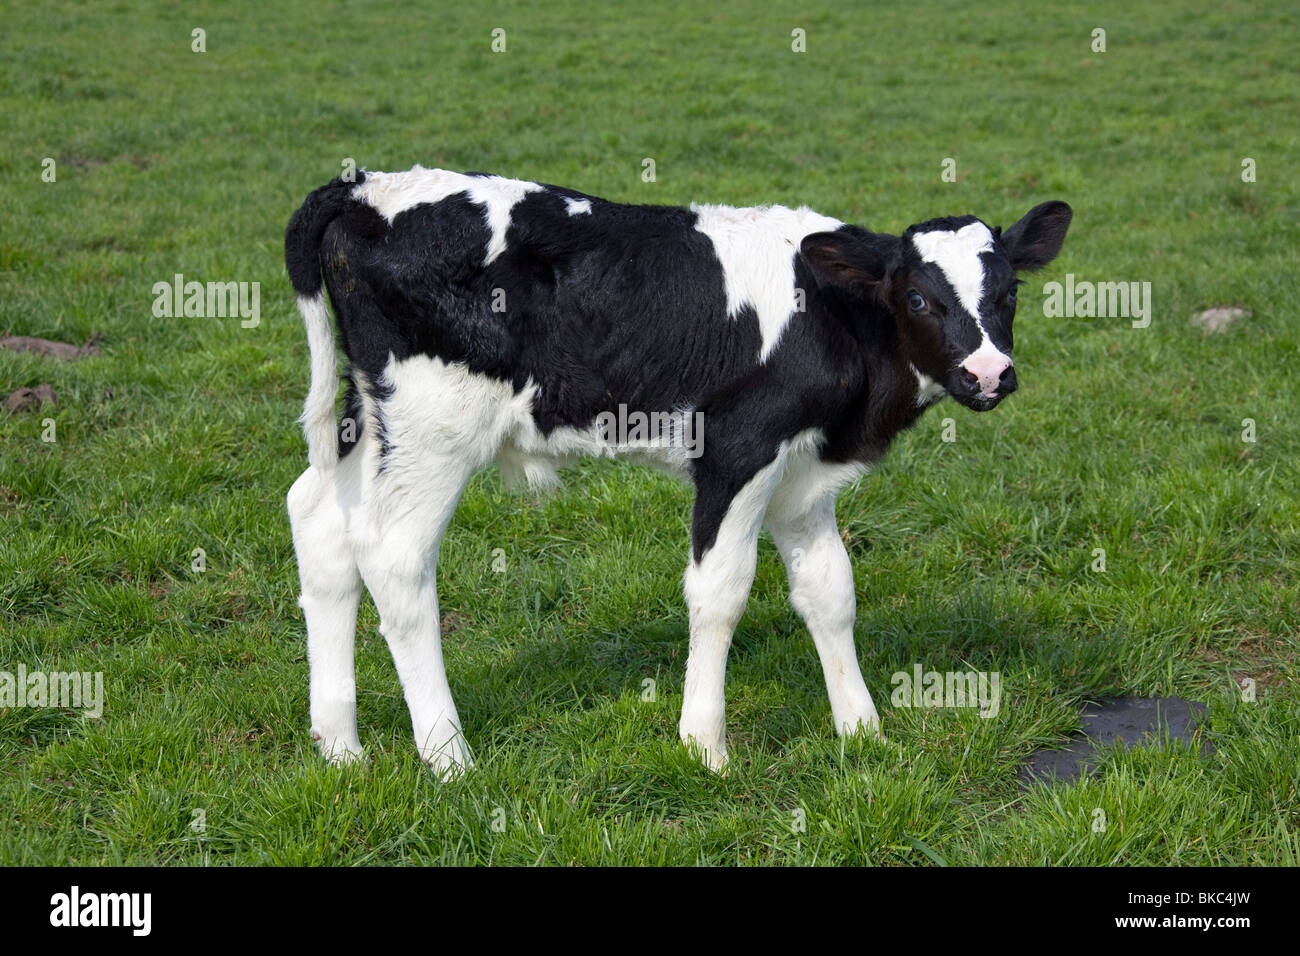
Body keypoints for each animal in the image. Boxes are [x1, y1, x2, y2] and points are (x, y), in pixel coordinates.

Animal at [282, 166, 1066, 780]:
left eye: (1009, 295)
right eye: (919, 298)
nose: (988, 372)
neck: (834, 317)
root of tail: (363, 186)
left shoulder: (802, 471)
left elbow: (830, 591)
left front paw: (862, 729)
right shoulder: (739, 449)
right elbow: (720, 593)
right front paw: (704, 747)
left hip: (369, 414)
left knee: (320, 523)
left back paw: (341, 748)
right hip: (435, 427)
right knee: (394, 558)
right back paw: (449, 758)